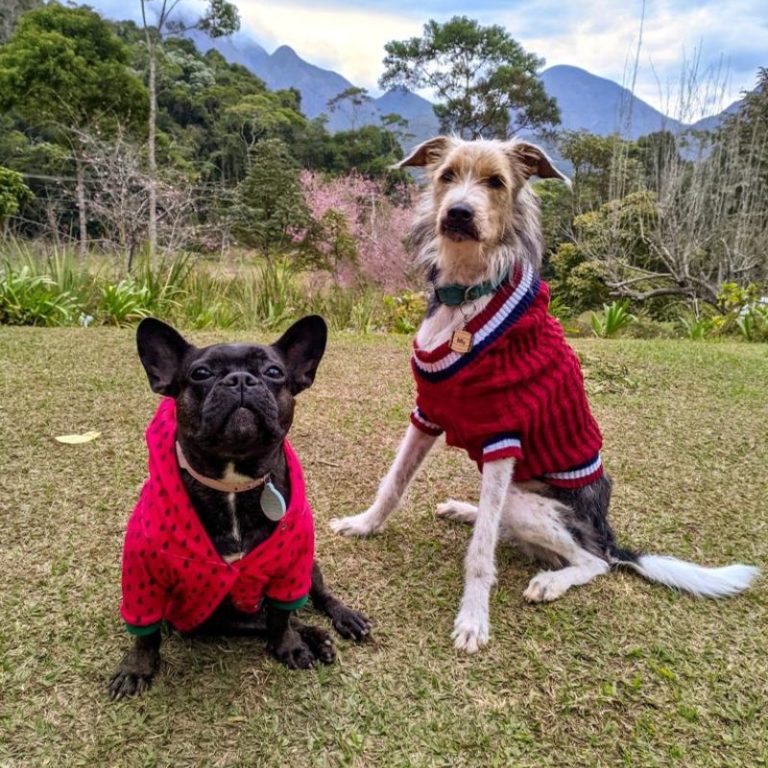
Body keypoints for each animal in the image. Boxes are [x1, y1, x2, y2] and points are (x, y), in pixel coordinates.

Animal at [330, 135, 756, 652]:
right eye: (447, 175)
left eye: (496, 182)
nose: (458, 213)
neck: (468, 295)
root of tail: (607, 534)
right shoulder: (426, 414)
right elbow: (393, 483)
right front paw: (363, 524)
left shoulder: (502, 437)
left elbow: (480, 555)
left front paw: (474, 617)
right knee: (504, 526)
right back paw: (466, 510)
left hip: (528, 501)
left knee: (591, 561)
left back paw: (552, 579)